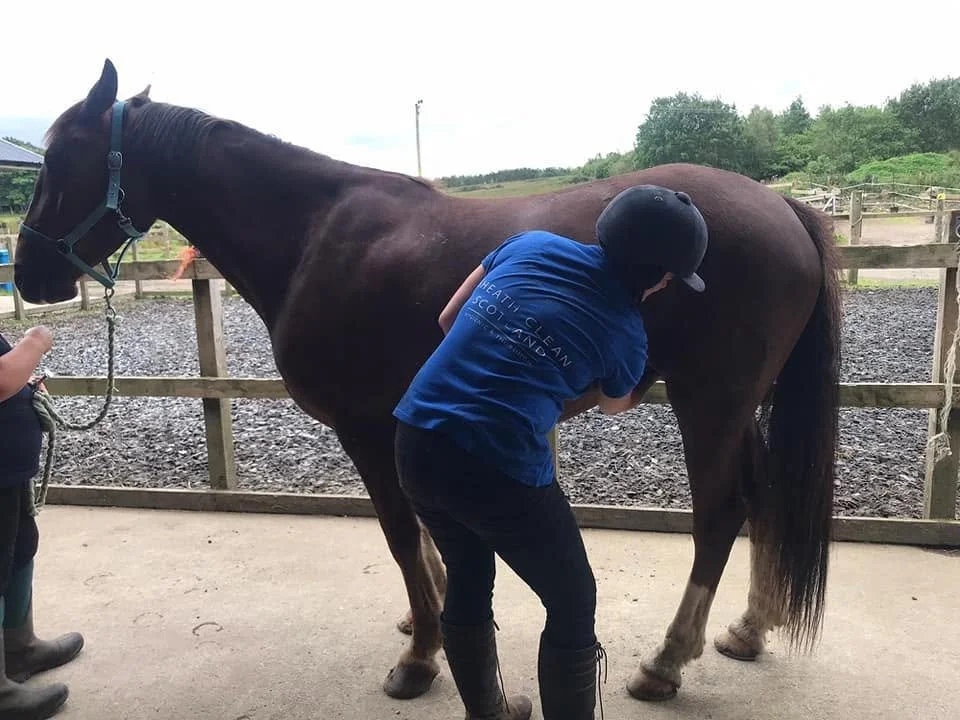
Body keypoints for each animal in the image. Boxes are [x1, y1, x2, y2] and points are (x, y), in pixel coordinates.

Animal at [14, 59, 841, 704]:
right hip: (738, 405)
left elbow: (400, 534)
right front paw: (432, 618)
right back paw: (746, 629)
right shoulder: (398, 422)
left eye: (56, 164)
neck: (316, 234)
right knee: (762, 496)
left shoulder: (364, 425)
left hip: (711, 400)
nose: (27, 276)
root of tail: (781, 204)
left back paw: (666, 664)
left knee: (723, 511)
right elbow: (421, 538)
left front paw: (418, 659)